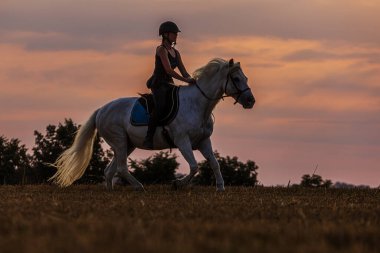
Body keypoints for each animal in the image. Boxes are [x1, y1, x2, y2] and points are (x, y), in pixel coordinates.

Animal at [51, 58, 255, 191]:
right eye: (236, 79)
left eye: (245, 78)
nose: (250, 101)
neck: (198, 105)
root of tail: (101, 110)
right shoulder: (182, 141)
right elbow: (194, 166)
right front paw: (177, 184)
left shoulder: (204, 141)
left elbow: (214, 164)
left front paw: (220, 188)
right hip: (119, 141)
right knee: (121, 168)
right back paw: (139, 186)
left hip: (127, 144)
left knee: (110, 170)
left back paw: (111, 192)